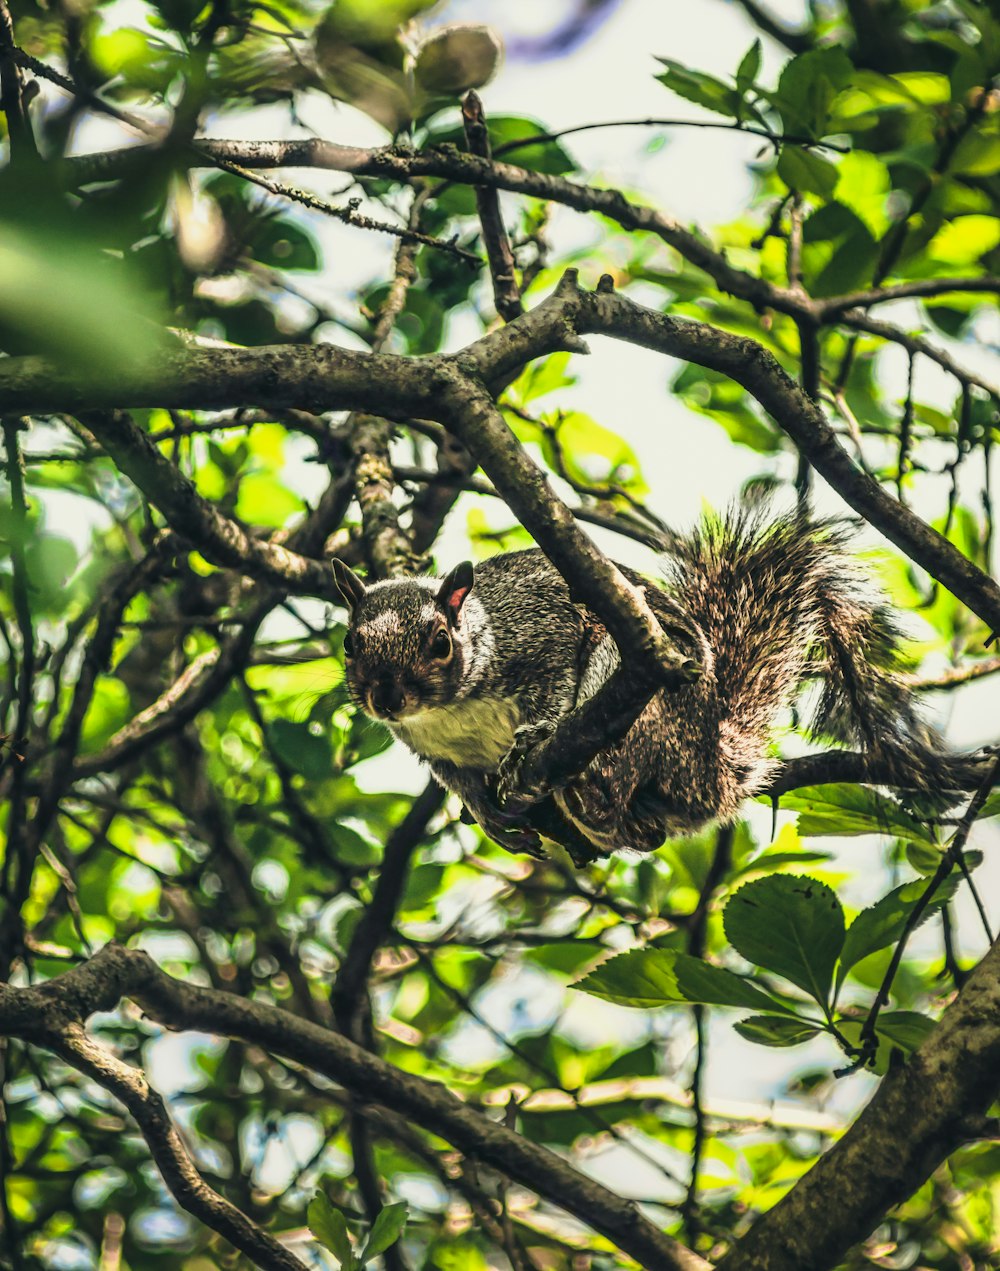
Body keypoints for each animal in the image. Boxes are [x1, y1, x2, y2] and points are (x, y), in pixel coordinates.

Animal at [335, 505, 960, 864]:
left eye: (440, 642)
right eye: (349, 644)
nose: (386, 698)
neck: (446, 711)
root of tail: (708, 774)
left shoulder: (543, 630)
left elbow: (551, 686)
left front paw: (531, 740)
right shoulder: (436, 751)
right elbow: (457, 781)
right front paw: (486, 817)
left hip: (647, 707)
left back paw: (589, 792)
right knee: (647, 835)